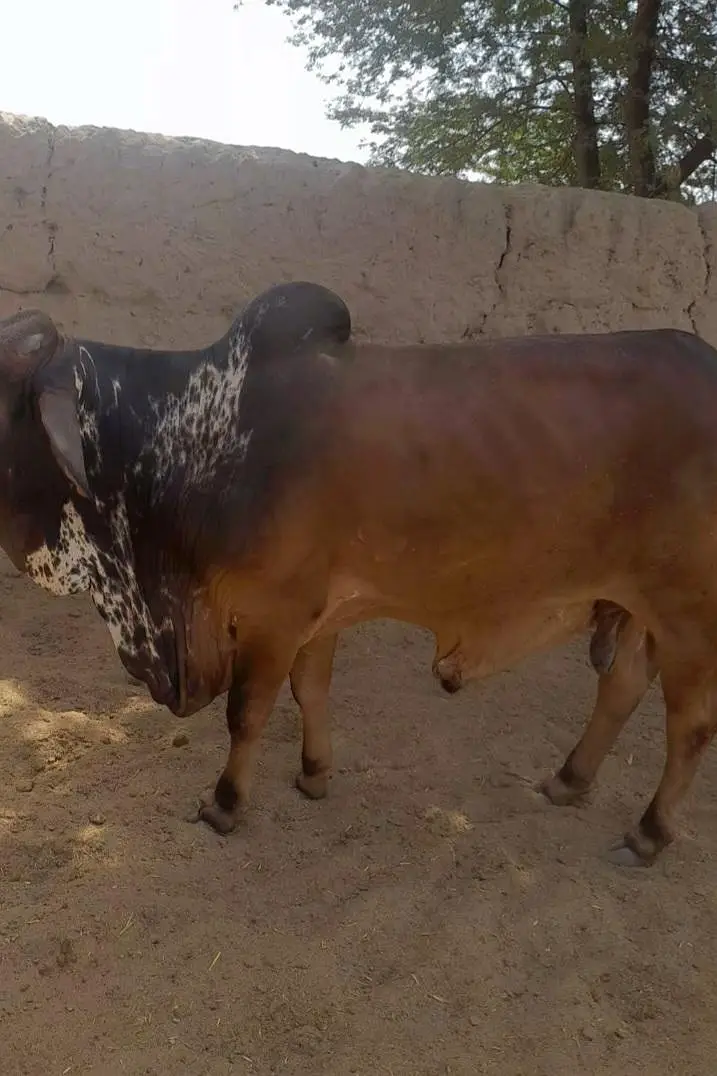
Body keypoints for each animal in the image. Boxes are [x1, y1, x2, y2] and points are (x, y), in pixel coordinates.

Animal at [0, 283, 716, 870]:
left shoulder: (272, 614)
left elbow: (246, 712)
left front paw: (225, 804)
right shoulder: (317, 615)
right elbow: (310, 692)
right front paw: (314, 774)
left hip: (688, 613)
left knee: (689, 725)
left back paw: (648, 833)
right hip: (639, 607)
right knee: (622, 687)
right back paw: (569, 780)